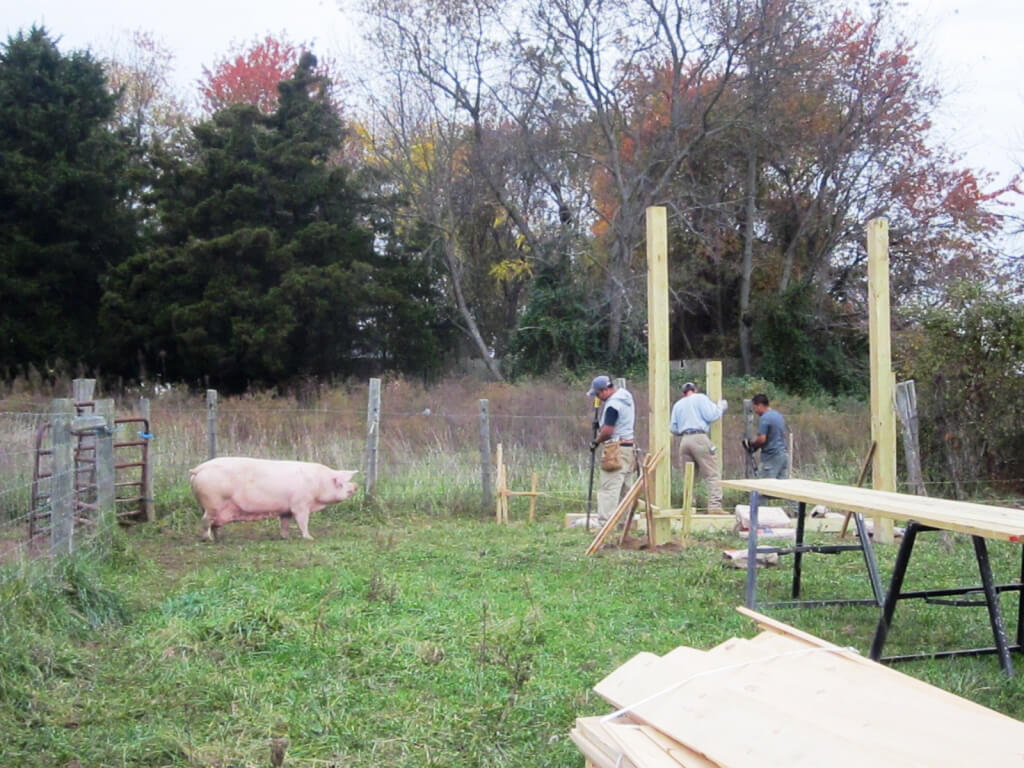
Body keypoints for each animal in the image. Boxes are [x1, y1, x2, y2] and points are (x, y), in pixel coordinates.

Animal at [188, 460, 360, 544]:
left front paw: (286, 538)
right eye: (342, 483)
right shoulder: (300, 504)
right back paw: (208, 540)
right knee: (205, 521)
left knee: (215, 524)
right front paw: (310, 538)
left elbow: (284, 523)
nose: (356, 485)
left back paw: (221, 538)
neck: (318, 484)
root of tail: (197, 469)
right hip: (212, 503)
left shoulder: (285, 509)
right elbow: (302, 522)